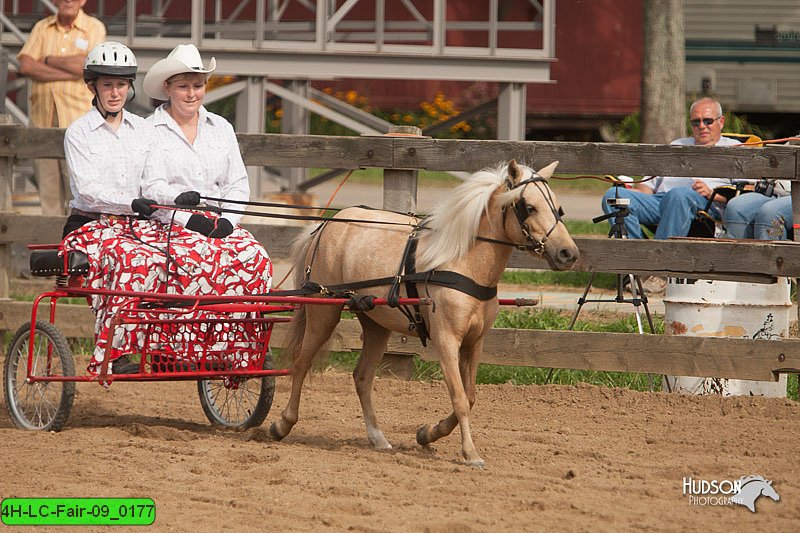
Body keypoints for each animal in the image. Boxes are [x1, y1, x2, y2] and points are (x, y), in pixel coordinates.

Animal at [272, 159, 580, 466]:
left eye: (559, 208)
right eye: (529, 207)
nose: (569, 254)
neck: (463, 263)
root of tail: (326, 225)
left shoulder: (475, 342)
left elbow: (469, 398)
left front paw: (427, 433)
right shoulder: (446, 340)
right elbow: (459, 398)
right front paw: (470, 453)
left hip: (375, 323)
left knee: (362, 376)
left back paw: (378, 438)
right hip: (323, 313)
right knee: (301, 363)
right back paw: (282, 424)